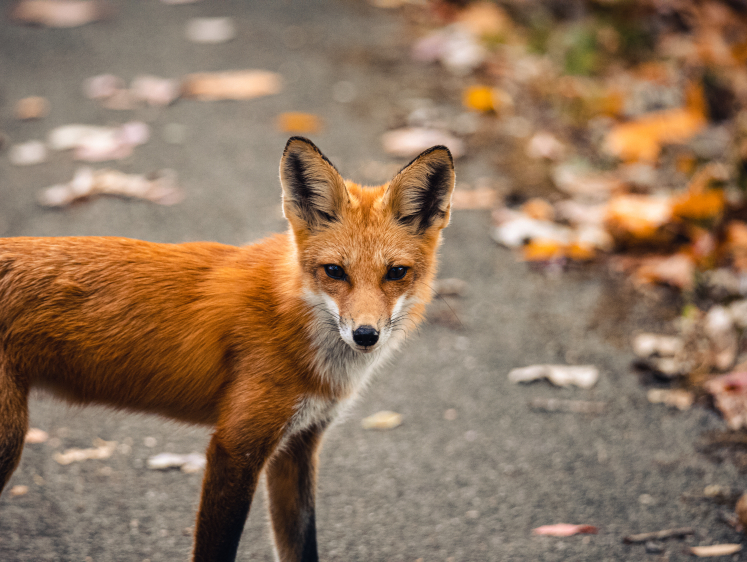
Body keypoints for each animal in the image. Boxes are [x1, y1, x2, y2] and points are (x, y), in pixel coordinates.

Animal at [0, 137, 456, 560]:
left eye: (396, 273)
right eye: (334, 271)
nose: (365, 335)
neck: (290, 314)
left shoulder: (298, 445)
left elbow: (301, 546)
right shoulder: (235, 447)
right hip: (9, 441)